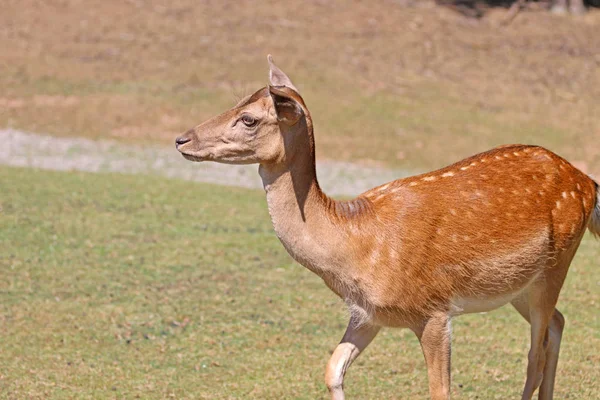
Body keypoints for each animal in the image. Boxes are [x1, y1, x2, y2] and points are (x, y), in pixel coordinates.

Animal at [175, 55, 600, 400]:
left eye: (248, 119)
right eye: (234, 103)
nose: (181, 139)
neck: (355, 246)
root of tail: (587, 183)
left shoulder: (434, 311)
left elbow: (440, 392)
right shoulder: (368, 314)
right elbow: (332, 370)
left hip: (556, 265)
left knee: (535, 352)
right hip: (519, 285)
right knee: (557, 324)